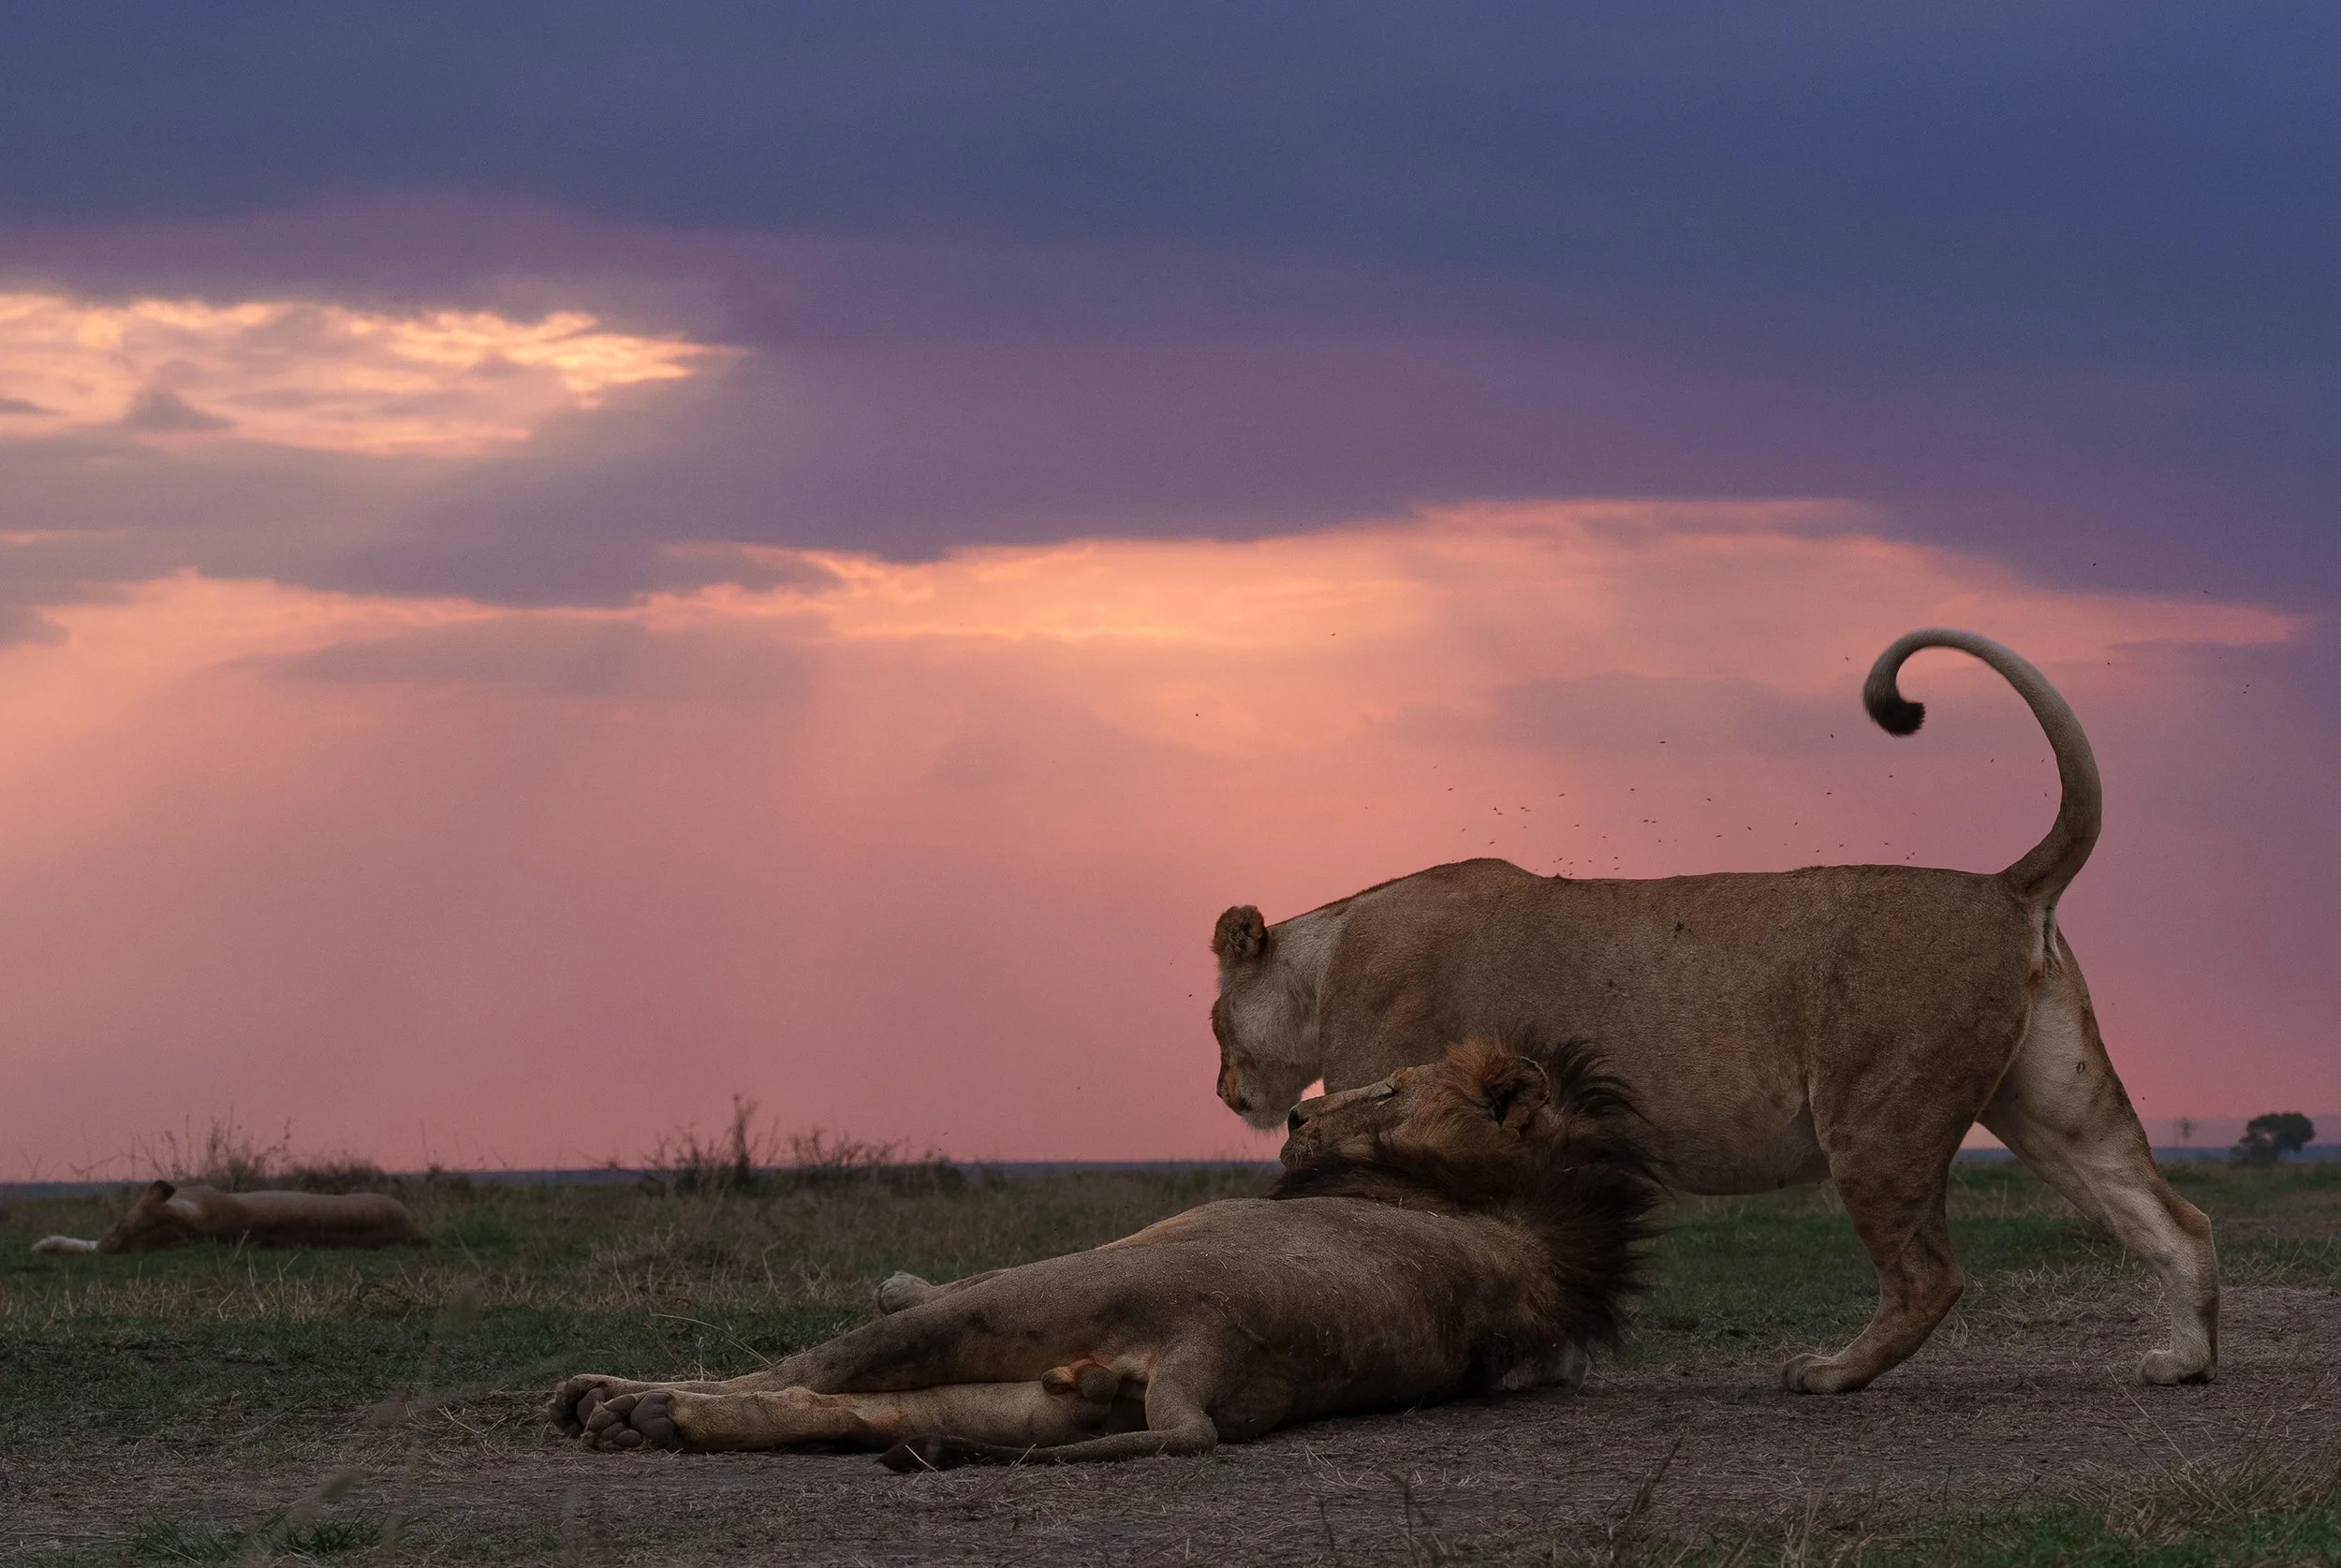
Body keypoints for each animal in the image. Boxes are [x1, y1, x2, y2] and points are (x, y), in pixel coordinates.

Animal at [548, 1037, 1654, 1465]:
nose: (1297, 1116)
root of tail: (1208, 1363)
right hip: (1037, 1401)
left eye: (1390, 1086)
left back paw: (625, 1404)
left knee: (811, 1371)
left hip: (1047, 1292)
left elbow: (906, 1292)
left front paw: (891, 1280)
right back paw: (651, 1420)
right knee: (857, 1412)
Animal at [1211, 628, 2217, 1394]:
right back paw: (2184, 1361)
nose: (1226, 1092)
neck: (1327, 951)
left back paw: (1829, 1373)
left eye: (1216, 1022)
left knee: (1930, 1276)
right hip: (2053, 1100)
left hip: (1877, 1116)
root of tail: (2004, 884)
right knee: (2174, 1217)